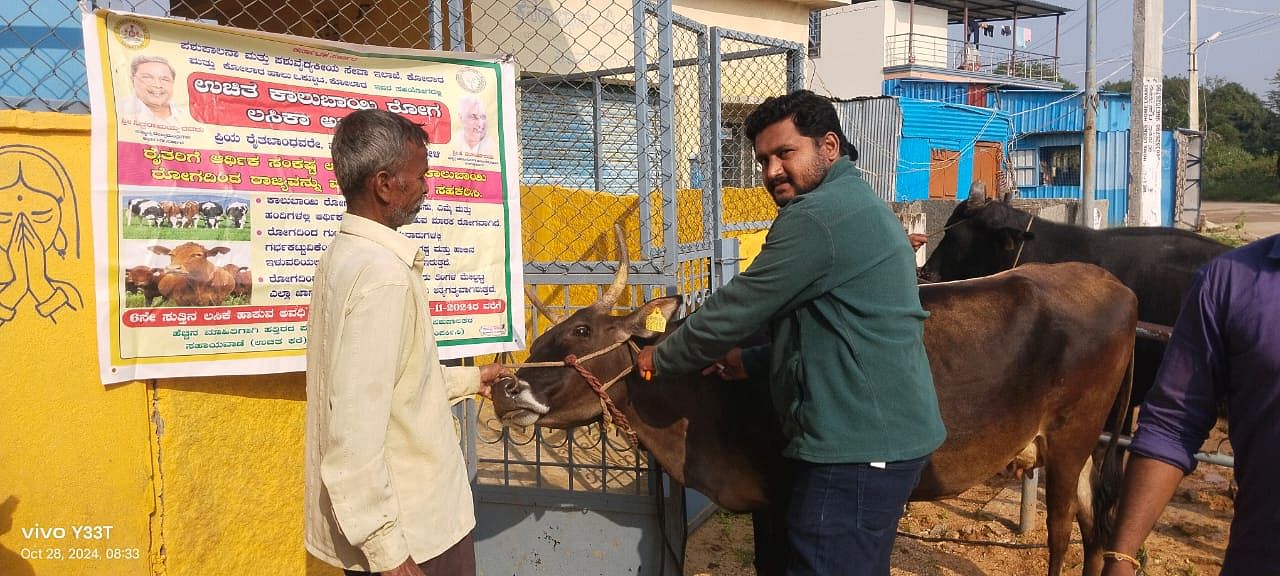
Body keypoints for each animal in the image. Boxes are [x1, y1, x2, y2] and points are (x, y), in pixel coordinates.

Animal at [494, 243, 1136, 576]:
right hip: (1080, 448)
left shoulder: (788, 498)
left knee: (1061, 532)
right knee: (1094, 528)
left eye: (579, 331)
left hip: (1071, 436)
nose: (505, 389)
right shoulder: (759, 502)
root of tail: (1115, 285)